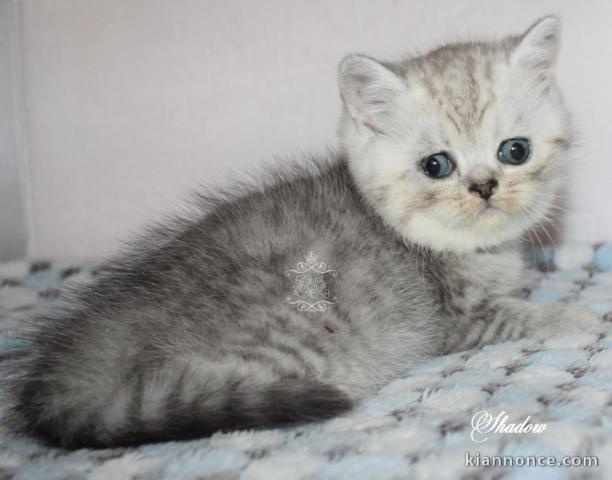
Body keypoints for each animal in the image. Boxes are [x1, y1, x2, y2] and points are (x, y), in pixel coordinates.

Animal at [10, 15, 604, 450]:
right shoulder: (458, 320)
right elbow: (519, 316)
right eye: (436, 165)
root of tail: (88, 346)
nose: (483, 187)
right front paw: (579, 316)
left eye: (515, 151)